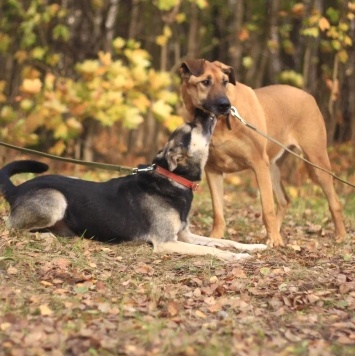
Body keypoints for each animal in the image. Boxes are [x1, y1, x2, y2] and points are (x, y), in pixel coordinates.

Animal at [0, 110, 268, 262]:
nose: (207, 111)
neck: (173, 180)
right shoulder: (167, 242)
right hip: (57, 200)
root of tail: (16, 190)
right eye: (192, 127)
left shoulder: (185, 235)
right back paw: (45, 236)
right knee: (11, 227)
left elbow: (224, 241)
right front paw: (235, 257)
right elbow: (212, 250)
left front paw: (252, 246)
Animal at [179, 59, 346, 248]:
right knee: (284, 200)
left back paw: (340, 236)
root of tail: (309, 97)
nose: (226, 105)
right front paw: (215, 237)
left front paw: (275, 240)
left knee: (334, 202)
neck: (219, 123)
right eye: (205, 82)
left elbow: (267, 208)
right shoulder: (213, 171)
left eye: (225, 82)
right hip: (273, 168)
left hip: (315, 161)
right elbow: (218, 212)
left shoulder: (259, 164)